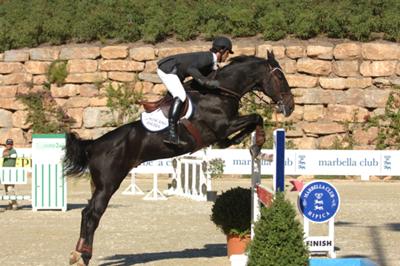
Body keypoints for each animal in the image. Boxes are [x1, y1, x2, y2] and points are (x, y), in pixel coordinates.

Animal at [66, 51, 294, 264]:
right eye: (280, 77)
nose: (290, 107)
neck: (219, 93)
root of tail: (94, 144)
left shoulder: (225, 127)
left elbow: (251, 122)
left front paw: (244, 143)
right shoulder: (224, 126)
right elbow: (256, 117)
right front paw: (256, 141)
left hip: (98, 185)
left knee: (87, 212)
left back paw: (78, 252)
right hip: (109, 184)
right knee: (92, 214)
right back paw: (83, 255)